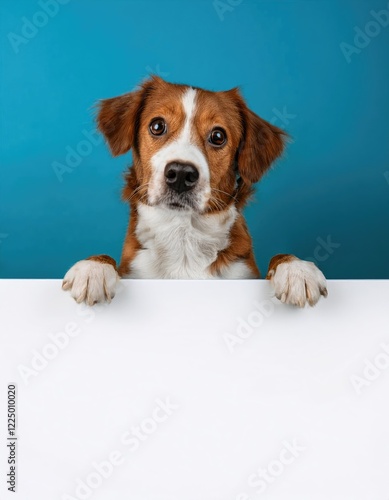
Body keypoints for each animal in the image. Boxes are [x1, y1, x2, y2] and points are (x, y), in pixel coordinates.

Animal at [61, 76, 328, 306]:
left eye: (218, 136)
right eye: (157, 126)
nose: (180, 174)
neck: (183, 236)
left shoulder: (244, 274)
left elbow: (279, 256)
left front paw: (296, 269)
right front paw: (93, 268)